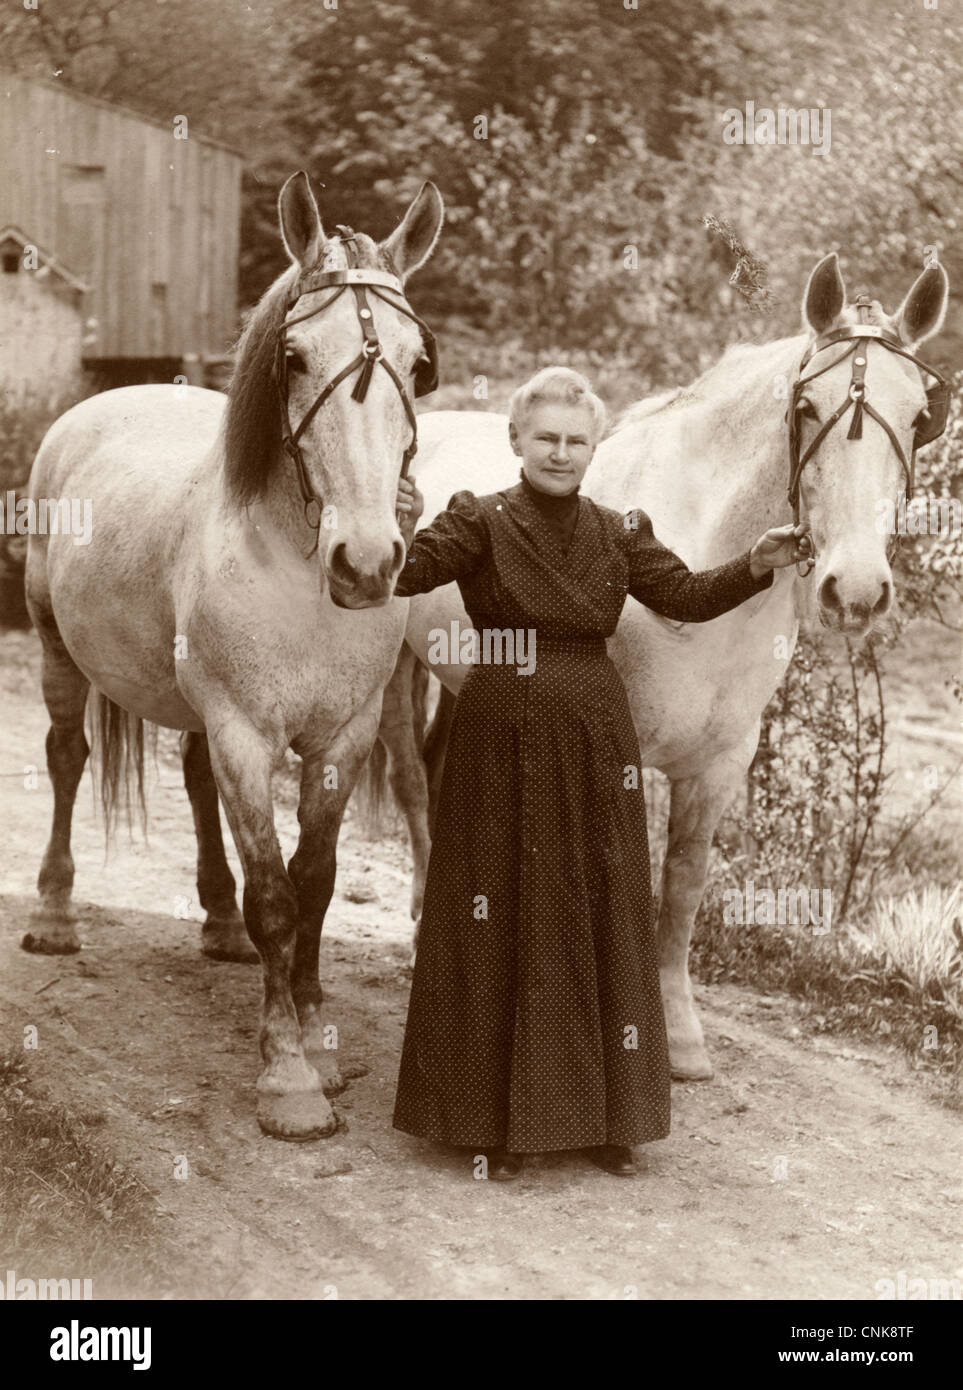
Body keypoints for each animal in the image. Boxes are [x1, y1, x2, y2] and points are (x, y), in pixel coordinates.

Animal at [22, 170, 441, 1139]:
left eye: (419, 364)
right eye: (295, 359)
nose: (368, 563)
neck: (295, 562)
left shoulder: (342, 736)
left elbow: (315, 883)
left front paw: (318, 1038)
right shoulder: (247, 733)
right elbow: (277, 897)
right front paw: (287, 1075)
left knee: (191, 778)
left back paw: (215, 922)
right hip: (56, 643)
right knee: (66, 758)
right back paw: (56, 914)